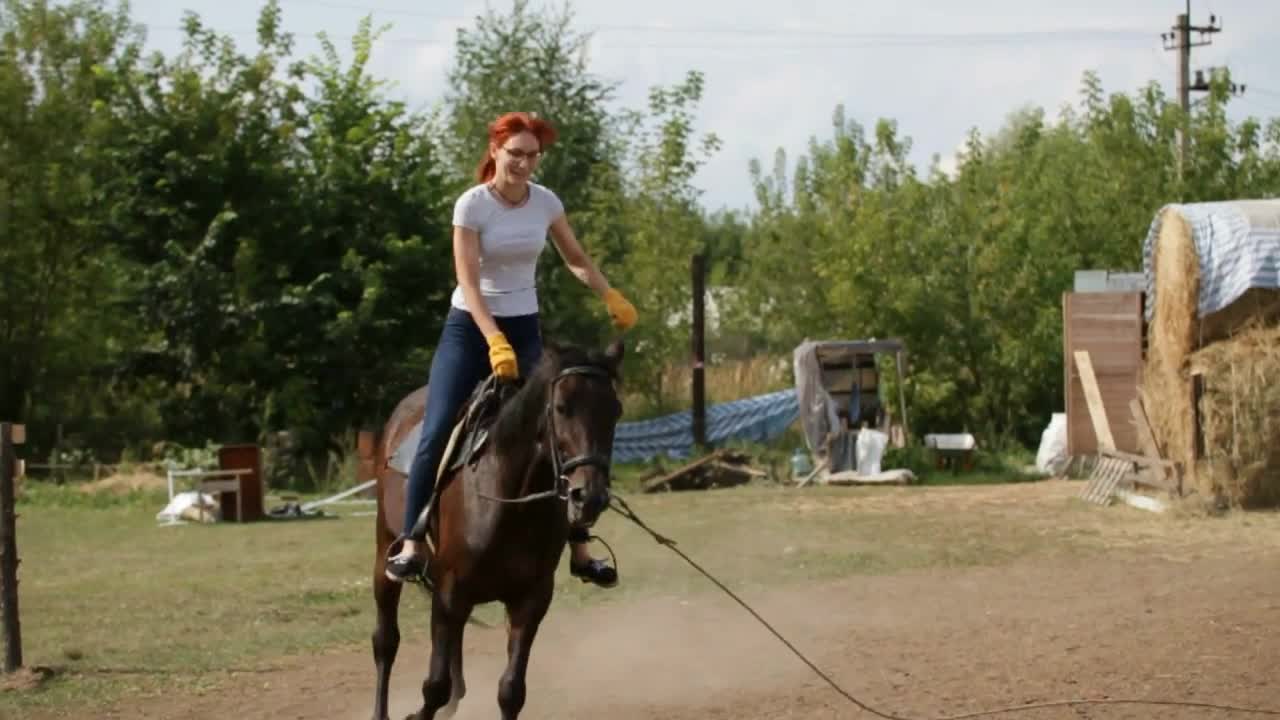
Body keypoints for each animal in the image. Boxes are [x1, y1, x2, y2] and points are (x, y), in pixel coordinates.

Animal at [366, 338, 624, 717]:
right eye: (562, 408)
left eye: (615, 411)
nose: (589, 496)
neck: (509, 498)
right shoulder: (450, 593)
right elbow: (435, 686)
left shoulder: (530, 599)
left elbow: (510, 691)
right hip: (386, 550)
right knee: (386, 641)